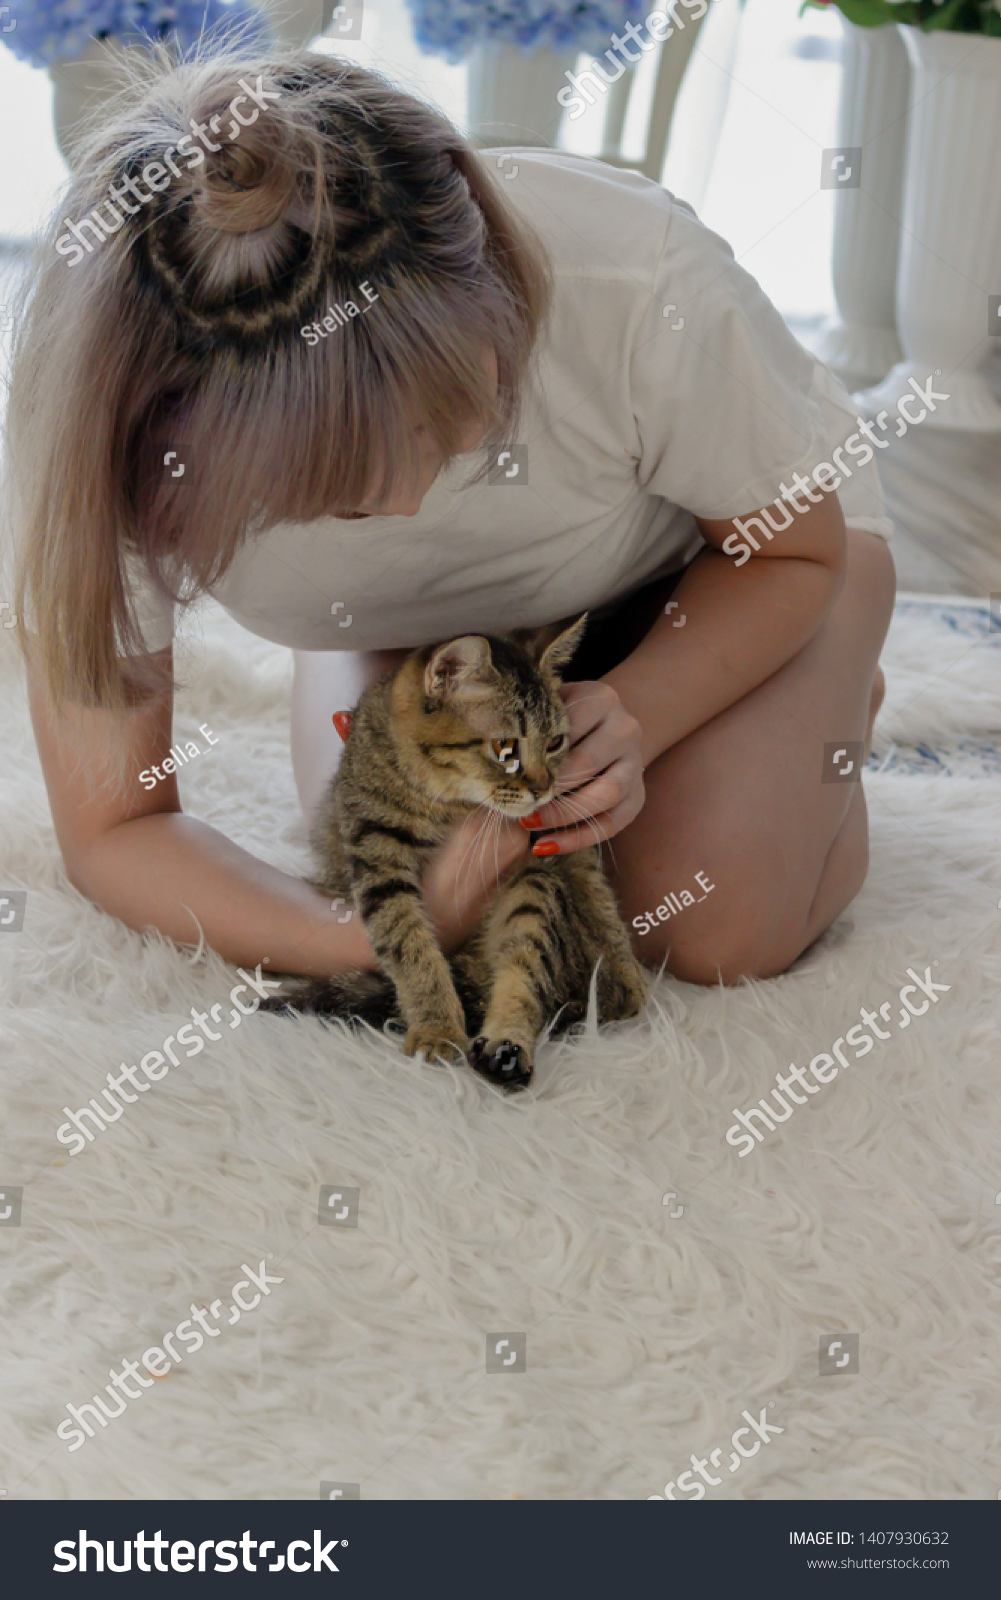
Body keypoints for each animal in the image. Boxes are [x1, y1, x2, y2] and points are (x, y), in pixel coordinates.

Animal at [265, 611, 642, 1088]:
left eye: (555, 742)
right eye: (505, 748)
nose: (543, 788)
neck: (451, 802)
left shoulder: (554, 841)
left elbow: (597, 896)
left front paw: (624, 970)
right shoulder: (378, 855)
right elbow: (411, 948)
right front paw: (438, 1029)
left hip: (531, 888)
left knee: (524, 971)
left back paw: (506, 1048)